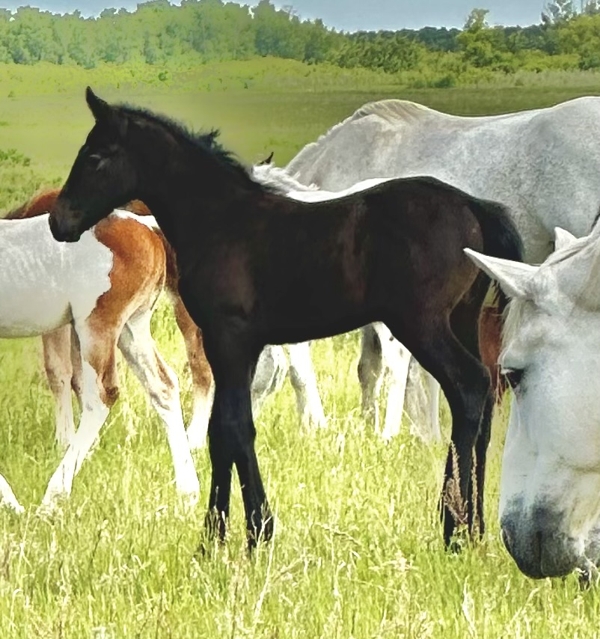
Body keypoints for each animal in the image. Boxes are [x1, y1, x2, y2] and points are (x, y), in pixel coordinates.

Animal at [0, 209, 201, 511]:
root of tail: (147, 226)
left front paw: (10, 503)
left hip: (97, 325)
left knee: (102, 395)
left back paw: (53, 496)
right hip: (132, 328)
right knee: (162, 386)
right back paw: (188, 493)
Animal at [48, 88, 523, 547]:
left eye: (95, 156)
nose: (58, 222)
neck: (221, 220)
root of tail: (473, 207)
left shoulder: (228, 338)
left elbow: (233, 427)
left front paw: (245, 531)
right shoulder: (242, 347)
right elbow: (226, 430)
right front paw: (226, 532)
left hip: (423, 325)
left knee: (468, 388)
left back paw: (452, 526)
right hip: (462, 320)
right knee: (484, 398)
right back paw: (476, 528)